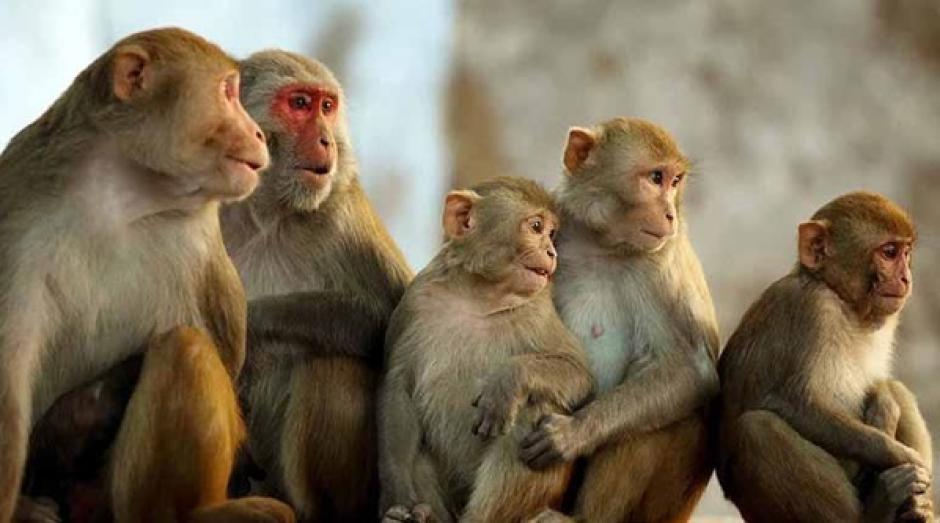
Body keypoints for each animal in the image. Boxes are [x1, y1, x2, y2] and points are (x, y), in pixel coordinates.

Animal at [0, 27, 293, 523]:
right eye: (228, 92)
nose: (258, 133)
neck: (123, 196)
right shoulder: (18, 214)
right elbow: (10, 373)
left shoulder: (199, 239)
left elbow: (222, 352)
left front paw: (70, 423)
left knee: (184, 348)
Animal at [219, 50, 414, 522]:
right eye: (300, 104)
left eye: (327, 107)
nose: (327, 141)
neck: (264, 213)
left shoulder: (342, 212)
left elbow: (395, 321)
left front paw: (251, 325)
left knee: (331, 363)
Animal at [378, 177, 595, 523]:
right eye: (536, 227)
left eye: (552, 234)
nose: (551, 251)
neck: (479, 298)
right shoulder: (415, 301)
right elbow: (398, 388)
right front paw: (397, 499)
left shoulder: (538, 311)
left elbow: (578, 374)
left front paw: (507, 382)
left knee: (533, 406)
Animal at [518, 118, 720, 523]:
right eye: (656, 177)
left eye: (675, 181)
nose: (670, 214)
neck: (603, 245)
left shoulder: (661, 265)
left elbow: (692, 369)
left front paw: (571, 434)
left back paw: (582, 519)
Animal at [715, 191, 933, 523]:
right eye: (889, 252)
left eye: (906, 252)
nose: (906, 278)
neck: (842, 301)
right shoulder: (812, 309)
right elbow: (794, 402)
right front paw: (897, 453)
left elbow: (883, 386)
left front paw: (884, 406)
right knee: (758, 428)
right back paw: (878, 508)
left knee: (901, 391)